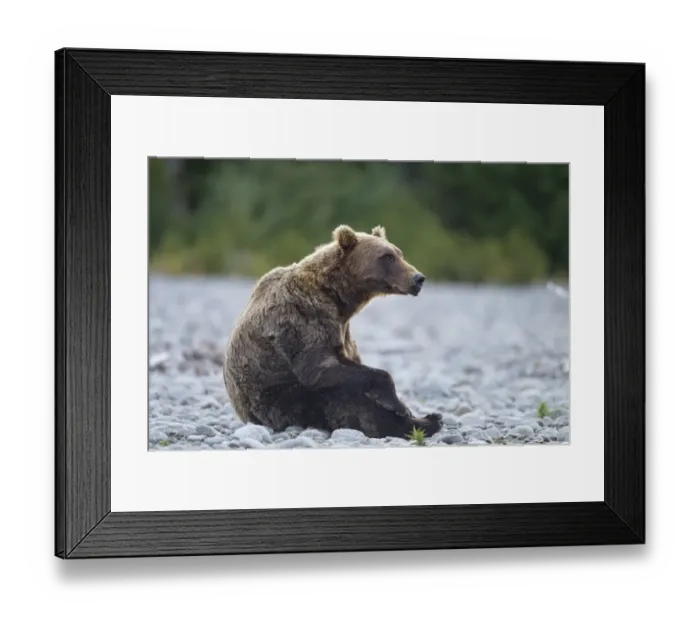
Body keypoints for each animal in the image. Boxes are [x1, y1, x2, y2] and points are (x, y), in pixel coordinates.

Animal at [223, 224, 443, 440]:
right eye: (387, 256)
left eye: (399, 254)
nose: (418, 278)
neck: (337, 298)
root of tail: (245, 416)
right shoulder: (304, 319)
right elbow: (319, 368)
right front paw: (398, 405)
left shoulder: (342, 329)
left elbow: (349, 359)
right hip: (281, 399)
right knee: (347, 403)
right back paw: (426, 421)